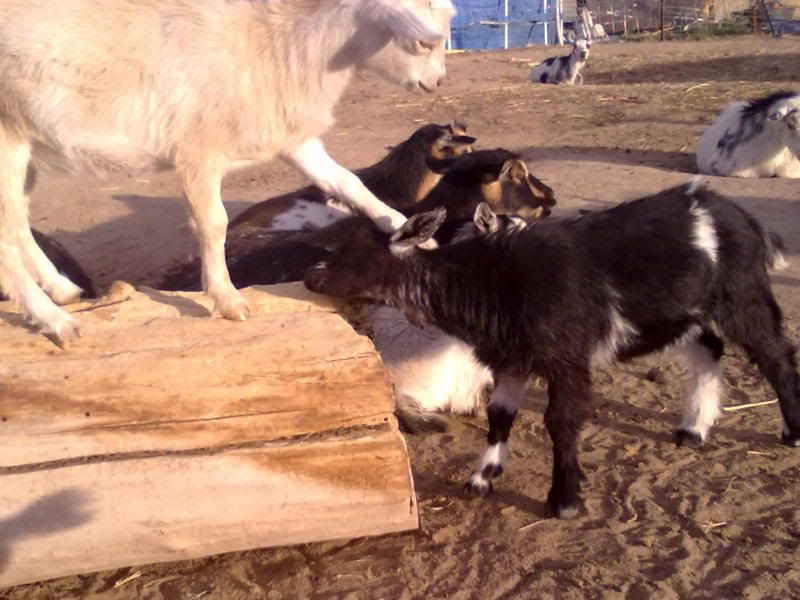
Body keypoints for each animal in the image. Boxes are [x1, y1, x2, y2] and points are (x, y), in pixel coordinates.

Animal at [305, 179, 799, 520]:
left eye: (344, 250)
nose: (310, 278)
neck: (488, 282)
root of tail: (738, 214)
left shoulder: (567, 358)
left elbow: (560, 422)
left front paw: (563, 500)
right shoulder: (511, 359)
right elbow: (499, 416)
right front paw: (481, 478)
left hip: (742, 294)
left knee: (775, 354)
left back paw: (791, 432)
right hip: (682, 313)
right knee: (709, 349)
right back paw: (694, 428)